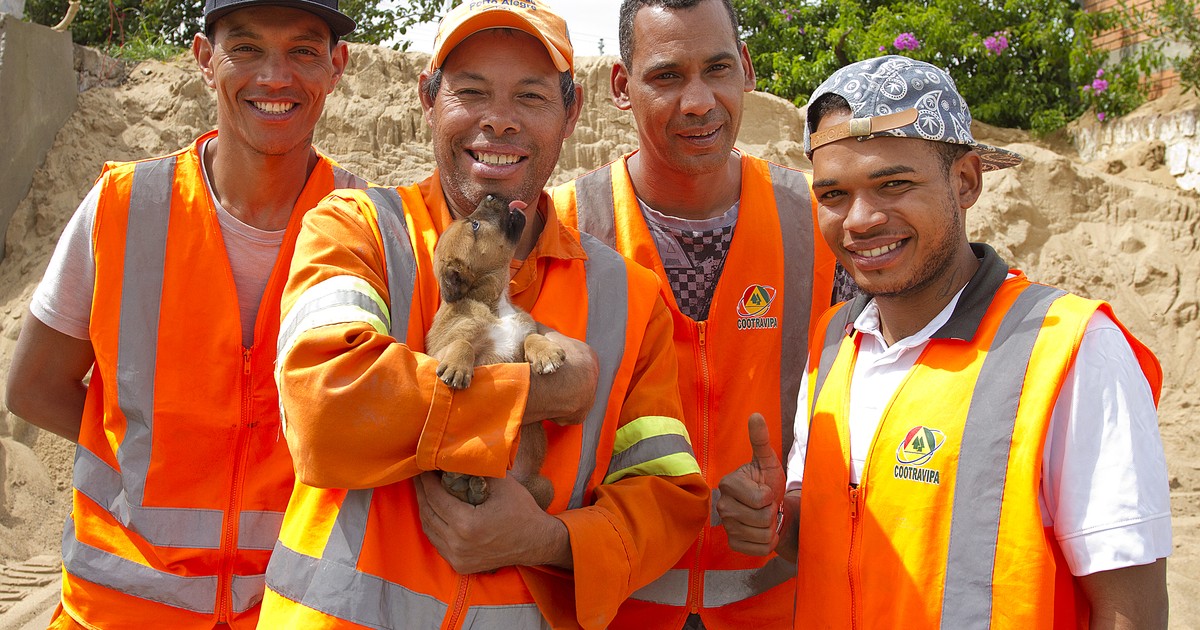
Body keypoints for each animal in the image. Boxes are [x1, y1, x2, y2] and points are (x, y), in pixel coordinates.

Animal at [427, 195, 566, 511]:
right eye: (475, 225)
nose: (490, 195)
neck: (494, 302)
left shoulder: (522, 333)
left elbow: (531, 338)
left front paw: (546, 353)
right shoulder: (438, 349)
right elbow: (464, 343)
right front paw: (457, 368)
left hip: (545, 486)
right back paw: (462, 484)